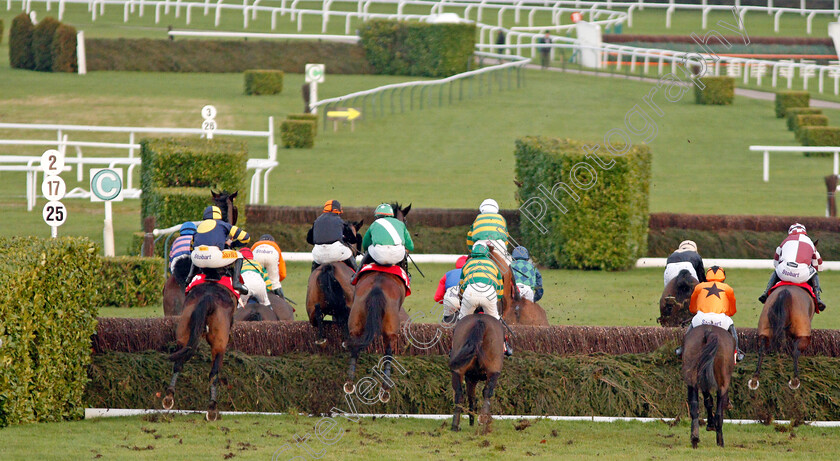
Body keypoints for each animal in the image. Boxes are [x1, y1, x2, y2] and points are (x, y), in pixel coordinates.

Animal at [162, 274, 238, 420]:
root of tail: (208, 298)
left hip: (184, 332)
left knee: (178, 362)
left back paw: (169, 396)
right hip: (219, 343)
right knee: (214, 373)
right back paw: (212, 408)